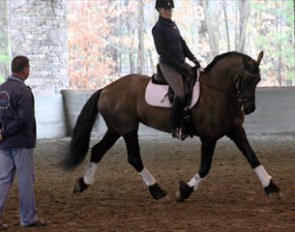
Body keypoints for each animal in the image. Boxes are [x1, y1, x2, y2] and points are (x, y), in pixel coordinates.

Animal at [63, 50, 280, 201]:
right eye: (246, 80)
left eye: (258, 80)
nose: (250, 108)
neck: (217, 93)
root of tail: (106, 89)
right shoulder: (208, 138)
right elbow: (205, 167)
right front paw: (185, 191)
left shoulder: (236, 131)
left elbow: (252, 157)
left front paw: (271, 187)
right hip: (128, 128)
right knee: (134, 158)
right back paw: (156, 190)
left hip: (116, 129)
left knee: (98, 150)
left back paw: (83, 183)